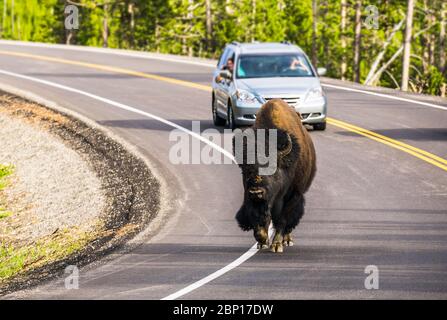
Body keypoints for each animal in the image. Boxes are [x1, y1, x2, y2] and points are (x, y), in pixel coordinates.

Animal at [233, 99, 316, 254]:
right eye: (247, 169)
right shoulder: (251, 198)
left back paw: (287, 241)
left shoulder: (293, 196)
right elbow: (259, 220)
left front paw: (276, 245)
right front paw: (262, 242)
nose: (256, 191)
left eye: (272, 167)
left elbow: (282, 219)